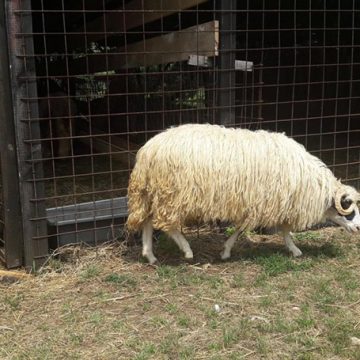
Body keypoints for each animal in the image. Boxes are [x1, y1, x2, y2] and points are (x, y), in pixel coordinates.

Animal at [126, 124, 360, 264]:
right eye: (348, 209)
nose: (358, 228)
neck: (313, 183)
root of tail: (148, 151)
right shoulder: (266, 203)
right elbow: (267, 229)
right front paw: (294, 249)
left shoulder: (267, 203)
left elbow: (269, 229)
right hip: (173, 195)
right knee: (166, 225)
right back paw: (187, 251)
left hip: (153, 193)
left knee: (148, 221)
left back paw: (150, 255)